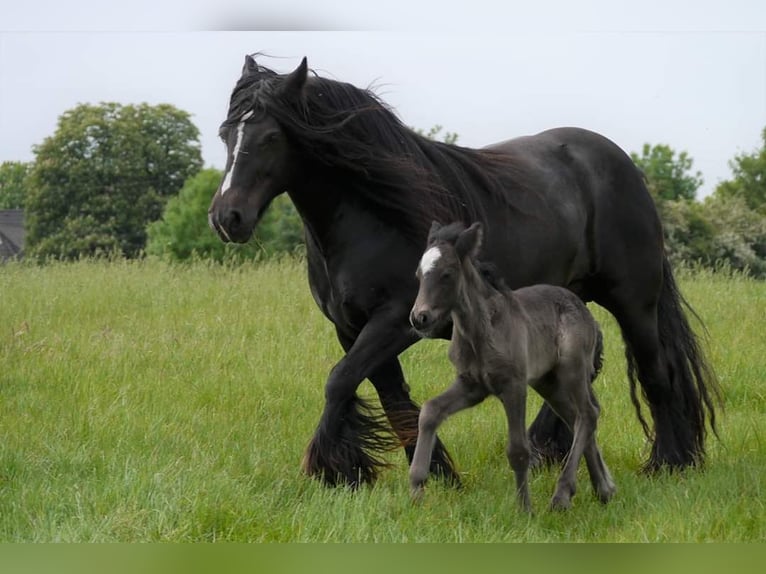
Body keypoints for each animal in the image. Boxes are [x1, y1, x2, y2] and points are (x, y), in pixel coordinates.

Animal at [208, 54, 720, 488]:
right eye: (225, 135)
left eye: (271, 137)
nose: (226, 217)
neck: (368, 215)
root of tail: (625, 168)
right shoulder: (351, 327)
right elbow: (389, 395)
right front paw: (433, 472)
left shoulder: (396, 321)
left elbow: (340, 381)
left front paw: (331, 470)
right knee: (583, 369)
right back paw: (550, 449)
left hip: (634, 301)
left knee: (657, 372)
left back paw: (669, 463)